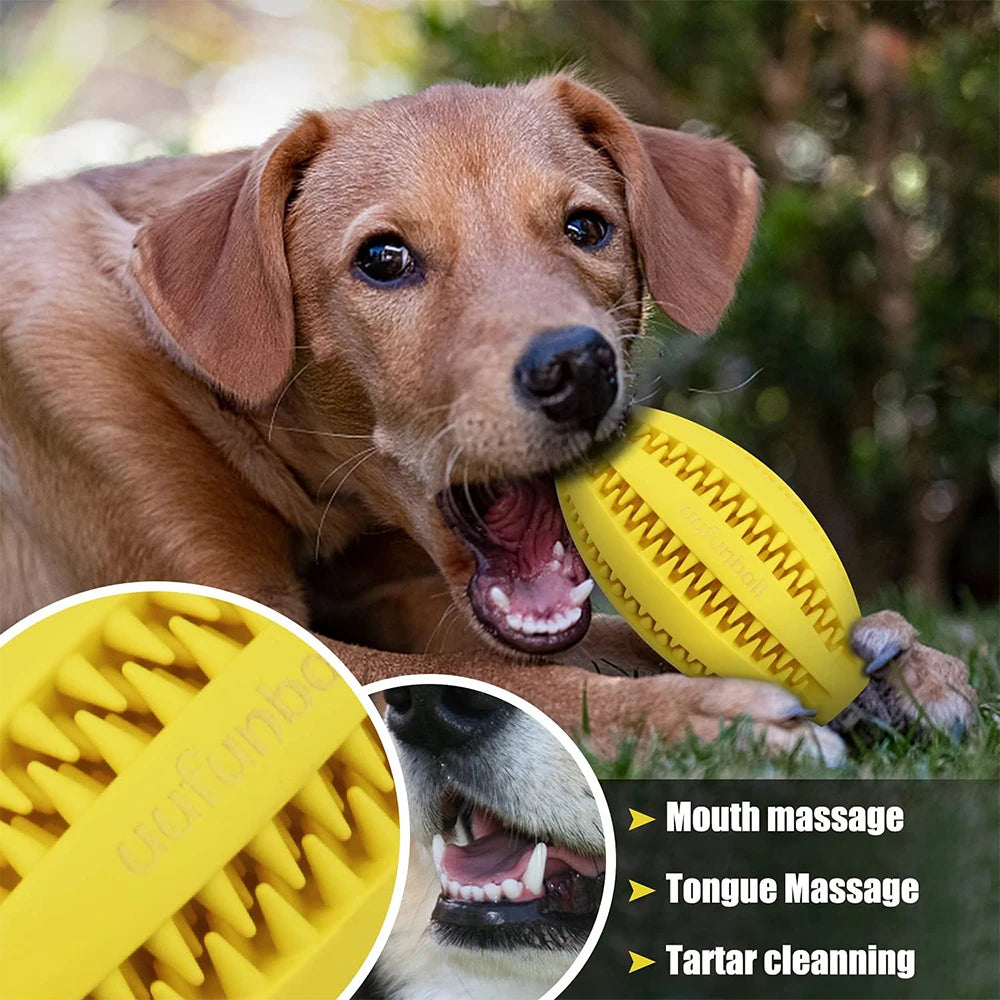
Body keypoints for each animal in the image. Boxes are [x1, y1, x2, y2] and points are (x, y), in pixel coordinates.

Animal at [0, 76, 968, 756]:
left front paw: (884, 665)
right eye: (383, 259)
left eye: (587, 228)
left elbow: (566, 644)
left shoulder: (411, 595)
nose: (577, 368)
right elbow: (504, 681)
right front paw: (695, 712)